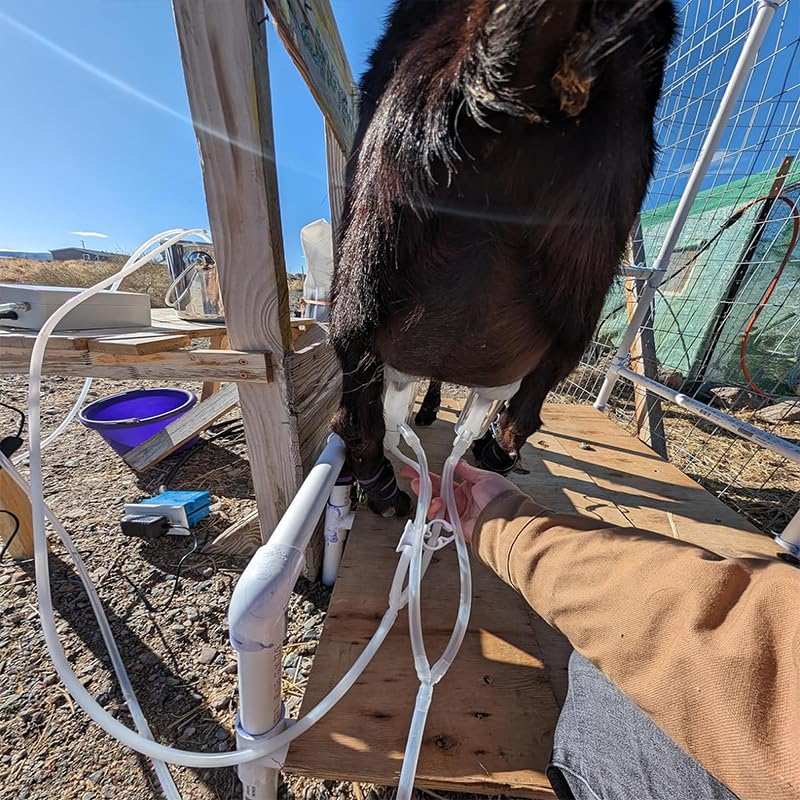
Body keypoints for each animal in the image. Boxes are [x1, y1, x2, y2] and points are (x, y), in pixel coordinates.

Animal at [330, 0, 677, 516]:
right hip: (581, 279)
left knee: (358, 403)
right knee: (527, 406)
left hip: (367, 262)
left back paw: (386, 485)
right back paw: (483, 451)